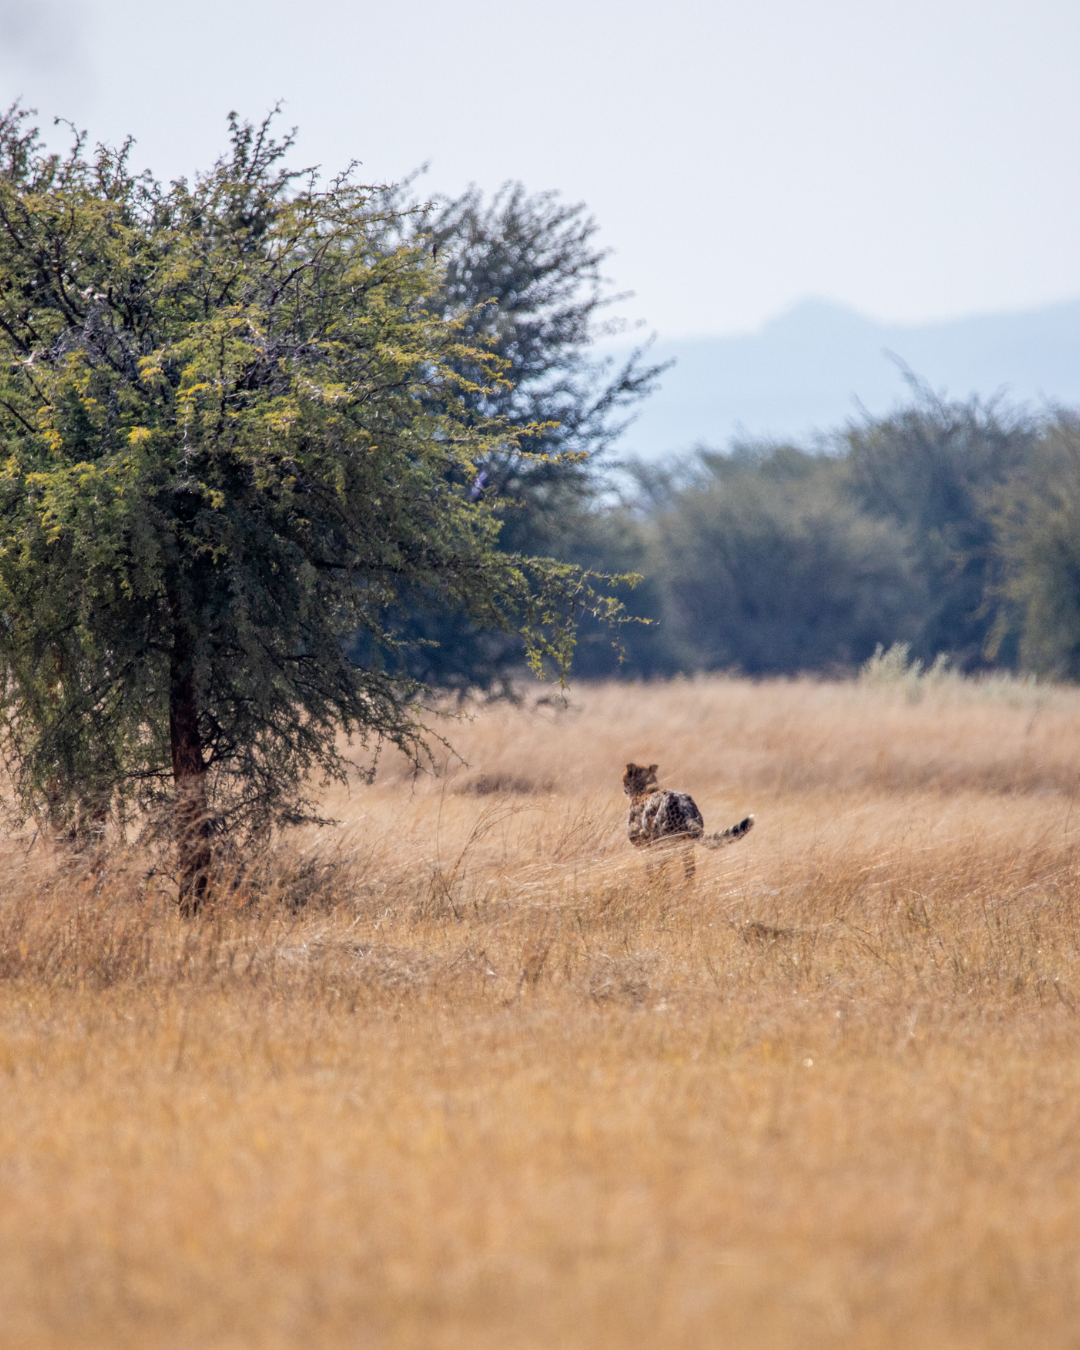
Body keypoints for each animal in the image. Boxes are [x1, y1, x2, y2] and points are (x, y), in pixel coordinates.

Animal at [622, 762, 754, 882]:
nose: (623, 788)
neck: (643, 789)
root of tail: (683, 806)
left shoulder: (645, 846)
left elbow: (650, 869)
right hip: (686, 846)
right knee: (690, 871)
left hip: (663, 844)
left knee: (665, 870)